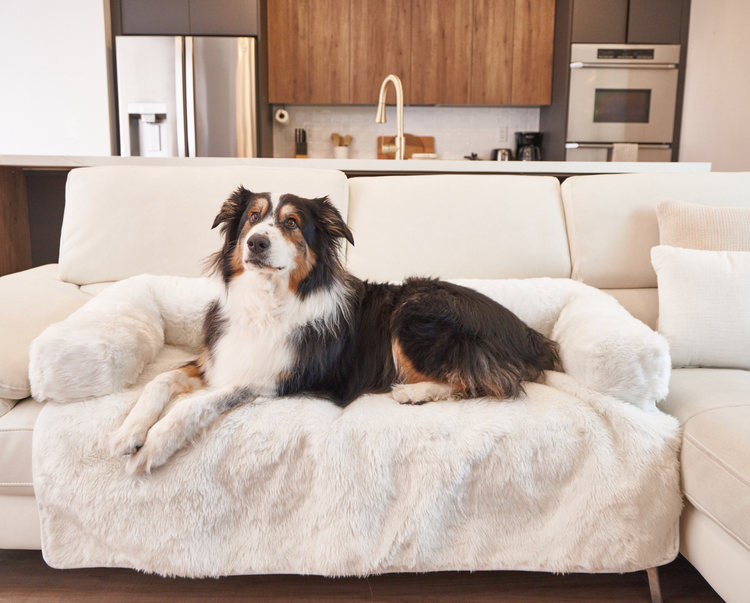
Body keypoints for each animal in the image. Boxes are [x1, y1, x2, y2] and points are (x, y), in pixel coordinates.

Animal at [108, 189, 560, 476]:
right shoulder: (217, 359)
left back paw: (415, 392)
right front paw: (129, 432)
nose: (255, 243)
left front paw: (153, 447)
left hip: (413, 311)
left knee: (488, 381)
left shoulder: (278, 378)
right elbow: (159, 382)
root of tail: (528, 333)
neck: (269, 300)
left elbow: (194, 405)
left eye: (291, 223)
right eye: (252, 217)